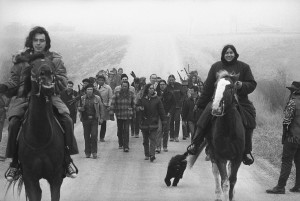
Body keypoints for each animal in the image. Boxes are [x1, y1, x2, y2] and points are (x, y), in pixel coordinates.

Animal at [13, 57, 65, 199]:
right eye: (32, 66)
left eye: (51, 64)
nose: (46, 72)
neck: (39, 137)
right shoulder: (30, 178)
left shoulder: (56, 177)